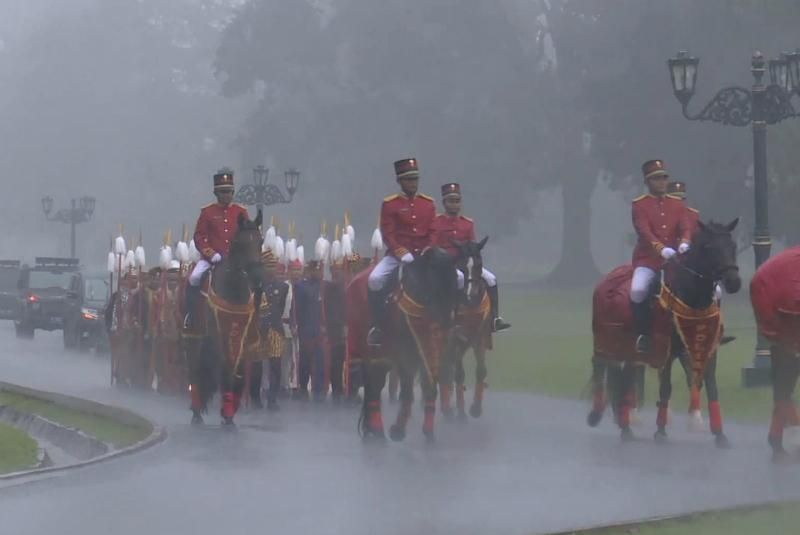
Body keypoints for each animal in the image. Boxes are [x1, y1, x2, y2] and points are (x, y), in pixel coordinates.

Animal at [185, 211, 266, 426]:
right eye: (240, 243)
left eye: (261, 241)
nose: (257, 276)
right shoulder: (217, 335)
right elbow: (223, 368)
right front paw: (226, 410)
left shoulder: (241, 337)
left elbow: (237, 371)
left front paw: (229, 411)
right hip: (195, 338)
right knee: (195, 368)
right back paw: (196, 410)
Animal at [354, 247, 460, 444]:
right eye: (434, 286)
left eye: (456, 288)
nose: (444, 324)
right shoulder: (405, 352)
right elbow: (407, 389)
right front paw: (398, 430)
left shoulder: (433, 349)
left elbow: (429, 384)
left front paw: (428, 432)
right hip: (373, 351)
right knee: (375, 384)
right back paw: (377, 432)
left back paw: (375, 431)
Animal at [440, 237, 490, 420]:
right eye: (461, 265)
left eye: (479, 264)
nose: (470, 296)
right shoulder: (453, 337)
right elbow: (459, 374)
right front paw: (461, 413)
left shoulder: (479, 337)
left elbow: (481, 371)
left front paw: (476, 408)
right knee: (445, 370)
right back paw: (448, 409)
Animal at [584, 219, 740, 448]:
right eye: (710, 247)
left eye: (733, 246)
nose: (733, 282)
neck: (691, 297)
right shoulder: (665, 351)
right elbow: (666, 388)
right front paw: (660, 430)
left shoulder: (708, 350)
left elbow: (710, 386)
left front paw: (719, 433)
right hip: (606, 341)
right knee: (601, 365)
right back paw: (601, 416)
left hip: (630, 351)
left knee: (624, 378)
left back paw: (626, 426)